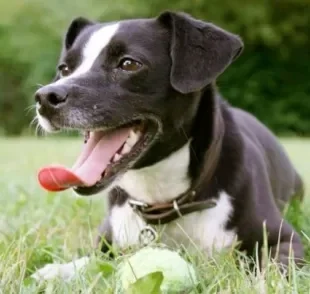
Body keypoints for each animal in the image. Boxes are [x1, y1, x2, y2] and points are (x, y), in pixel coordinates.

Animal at [31, 11, 302, 282]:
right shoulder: (107, 242)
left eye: (129, 64)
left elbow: (275, 268)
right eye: (65, 69)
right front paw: (60, 269)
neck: (161, 197)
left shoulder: (287, 241)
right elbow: (91, 260)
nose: (44, 97)